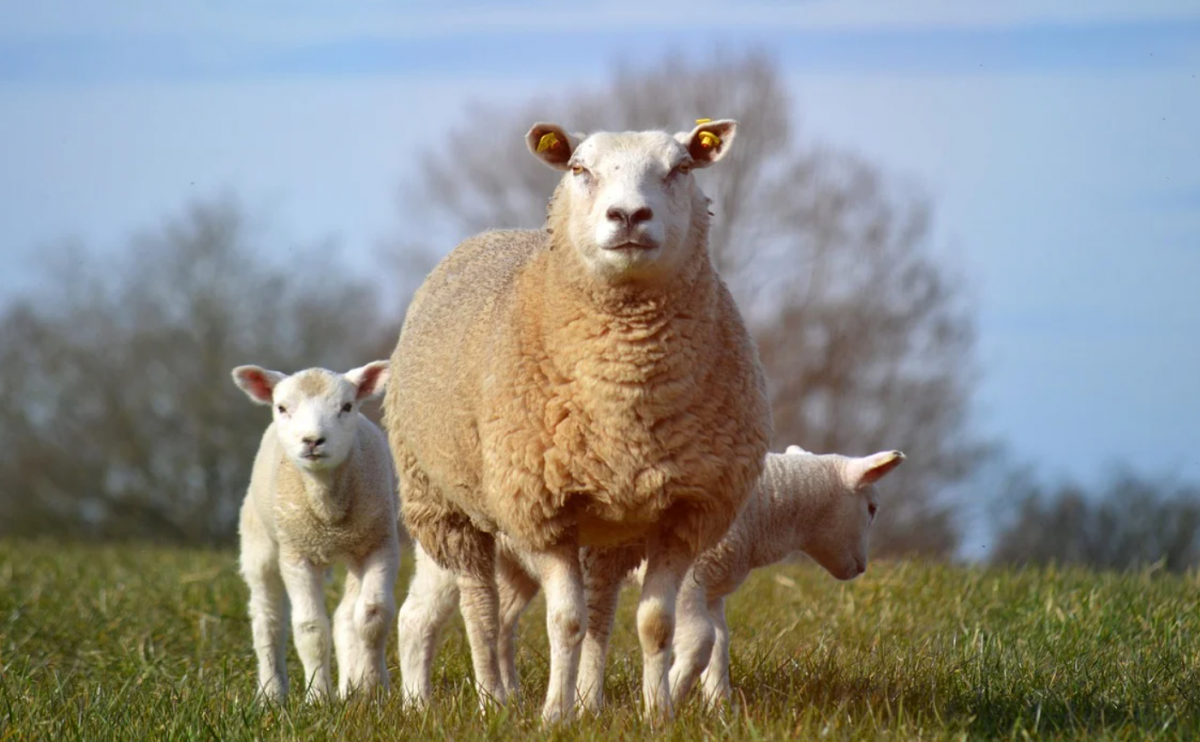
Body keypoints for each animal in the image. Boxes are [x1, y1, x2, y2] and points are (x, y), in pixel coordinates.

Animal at [232, 361, 399, 703]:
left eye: (347, 406)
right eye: (282, 408)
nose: (312, 440)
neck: (328, 512)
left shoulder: (380, 544)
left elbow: (372, 616)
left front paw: (373, 690)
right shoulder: (297, 554)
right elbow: (310, 628)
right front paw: (318, 698)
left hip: (355, 547)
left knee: (346, 617)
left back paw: (350, 688)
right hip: (259, 542)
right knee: (268, 620)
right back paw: (271, 693)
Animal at [386, 119, 772, 721]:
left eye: (681, 167)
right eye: (578, 169)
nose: (629, 215)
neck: (625, 393)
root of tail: (489, 234)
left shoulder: (684, 513)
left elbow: (654, 624)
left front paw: (657, 714)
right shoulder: (542, 509)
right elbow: (563, 621)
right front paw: (552, 715)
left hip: (613, 524)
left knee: (601, 605)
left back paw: (590, 701)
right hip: (443, 501)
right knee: (480, 604)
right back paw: (492, 699)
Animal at [398, 445, 904, 714]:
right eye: (872, 508)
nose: (861, 567)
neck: (766, 508)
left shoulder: (714, 586)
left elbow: (720, 643)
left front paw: (719, 707)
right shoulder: (692, 579)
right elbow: (699, 640)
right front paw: (672, 694)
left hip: (517, 563)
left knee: (504, 622)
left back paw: (515, 699)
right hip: (445, 545)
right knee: (416, 619)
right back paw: (418, 703)